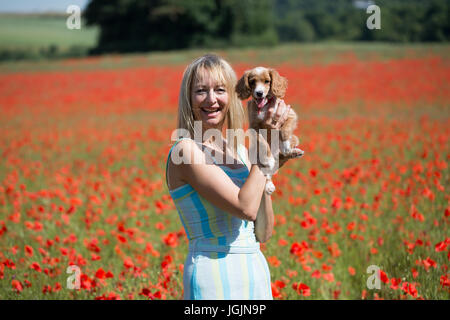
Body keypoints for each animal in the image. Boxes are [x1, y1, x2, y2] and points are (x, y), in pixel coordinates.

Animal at [234, 66, 304, 194]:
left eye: (267, 81)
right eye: (252, 82)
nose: (259, 93)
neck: (264, 106)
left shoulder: (290, 114)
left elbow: (284, 131)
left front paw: (286, 147)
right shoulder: (254, 127)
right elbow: (262, 142)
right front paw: (268, 159)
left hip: (295, 139)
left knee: (283, 155)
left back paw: (294, 152)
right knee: (267, 172)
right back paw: (268, 184)